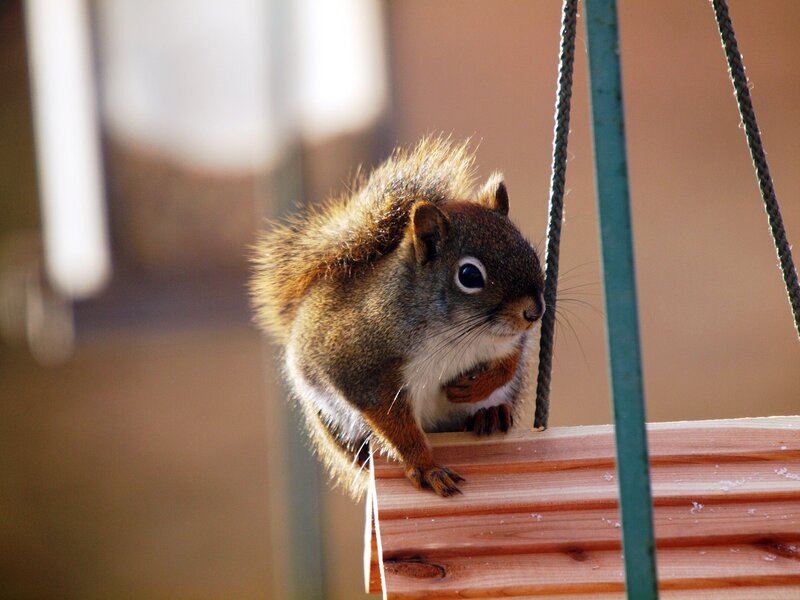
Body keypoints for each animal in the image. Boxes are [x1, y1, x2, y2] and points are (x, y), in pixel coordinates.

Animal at [250, 137, 545, 498]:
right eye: (469, 275)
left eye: (530, 251)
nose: (534, 312)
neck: (458, 333)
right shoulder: (363, 370)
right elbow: (396, 426)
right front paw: (426, 467)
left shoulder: (510, 341)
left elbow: (509, 363)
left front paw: (475, 388)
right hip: (335, 424)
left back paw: (491, 414)